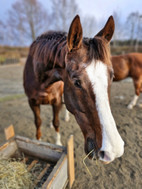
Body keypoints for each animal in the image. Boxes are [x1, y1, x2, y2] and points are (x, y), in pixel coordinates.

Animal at [23, 15, 123, 164]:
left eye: (112, 77)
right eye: (77, 82)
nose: (112, 151)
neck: (41, 78)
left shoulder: (57, 101)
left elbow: (56, 122)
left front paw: (57, 143)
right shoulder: (32, 102)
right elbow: (38, 122)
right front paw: (38, 141)